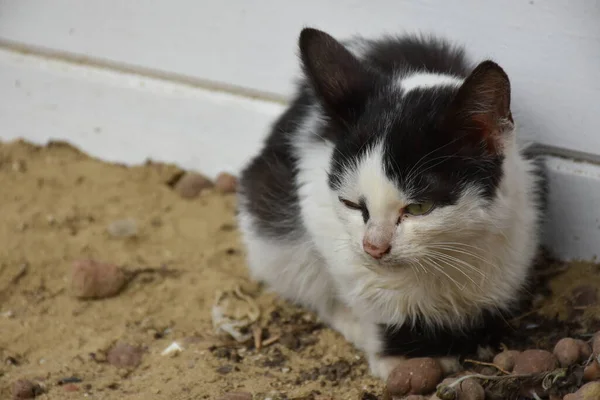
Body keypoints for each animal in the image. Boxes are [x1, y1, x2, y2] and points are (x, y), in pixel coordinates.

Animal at [237, 27, 548, 378]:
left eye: (419, 207)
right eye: (351, 204)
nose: (374, 247)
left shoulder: (519, 221)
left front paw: (473, 336)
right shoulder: (319, 209)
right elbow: (371, 296)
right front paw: (402, 356)